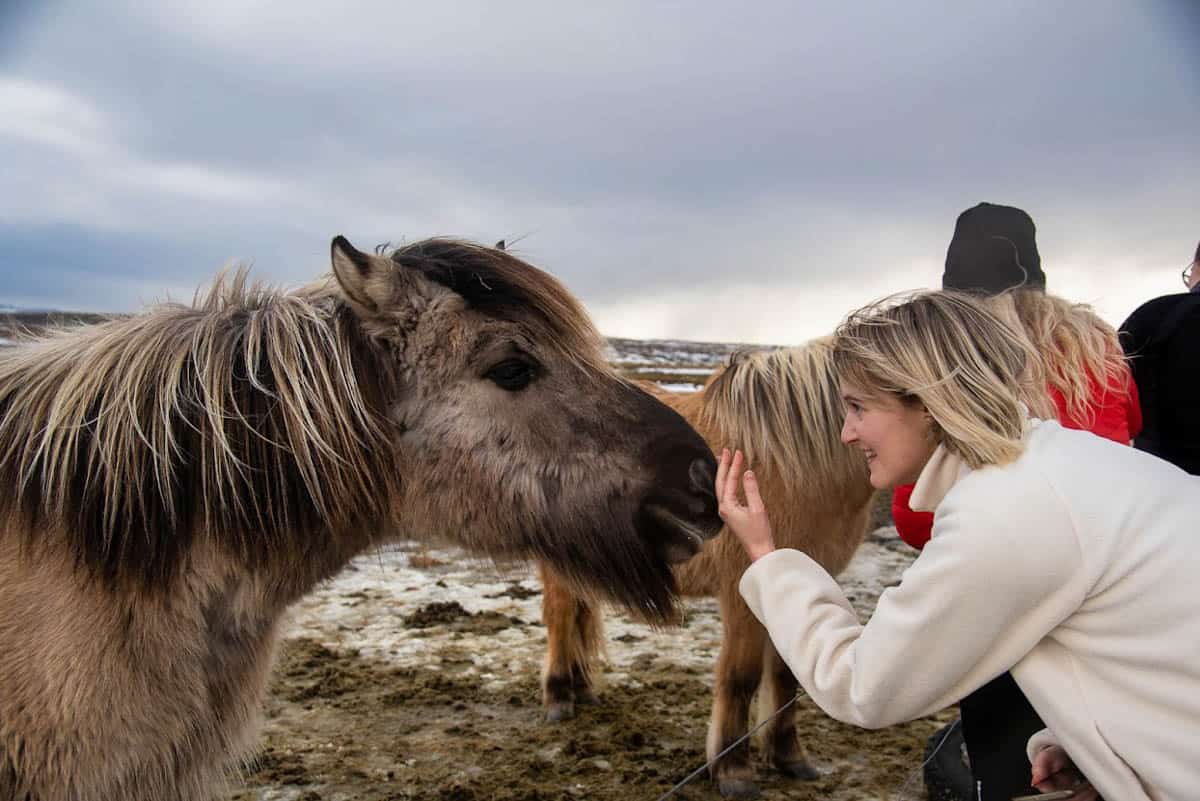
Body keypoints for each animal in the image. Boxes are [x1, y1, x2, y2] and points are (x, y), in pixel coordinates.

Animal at [540, 338, 878, 796]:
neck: (792, 460)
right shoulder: (742, 592)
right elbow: (741, 675)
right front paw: (733, 770)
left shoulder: (793, 583)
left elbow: (787, 676)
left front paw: (789, 757)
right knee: (561, 619)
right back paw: (559, 698)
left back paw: (583, 689)